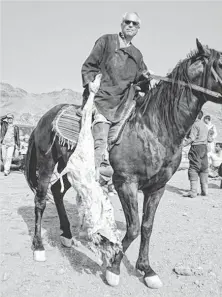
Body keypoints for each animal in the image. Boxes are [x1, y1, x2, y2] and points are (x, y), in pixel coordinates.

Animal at [25, 39, 221, 286]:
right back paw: (38, 246)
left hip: (74, 170)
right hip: (46, 162)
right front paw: (114, 268)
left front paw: (147, 269)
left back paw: (67, 235)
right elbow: (134, 228)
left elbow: (147, 227)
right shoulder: (126, 183)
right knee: (41, 200)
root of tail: (44, 117)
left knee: (57, 193)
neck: (154, 128)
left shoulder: (158, 187)